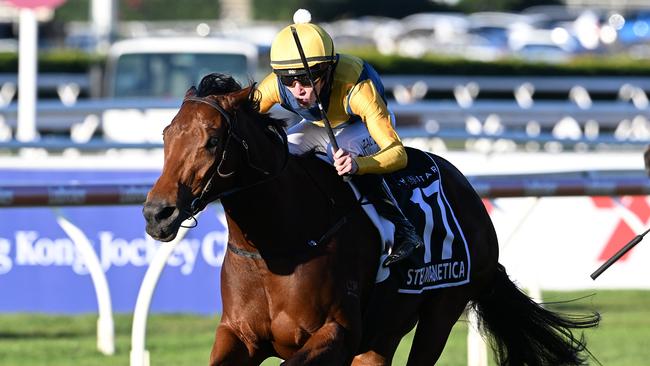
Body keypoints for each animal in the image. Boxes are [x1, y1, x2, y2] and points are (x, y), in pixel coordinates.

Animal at [142, 73, 596, 364]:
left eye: (212, 140)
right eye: (166, 135)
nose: (156, 213)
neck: (279, 244)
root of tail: (468, 191)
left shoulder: (338, 333)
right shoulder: (238, 335)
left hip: (442, 310)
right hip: (385, 332)